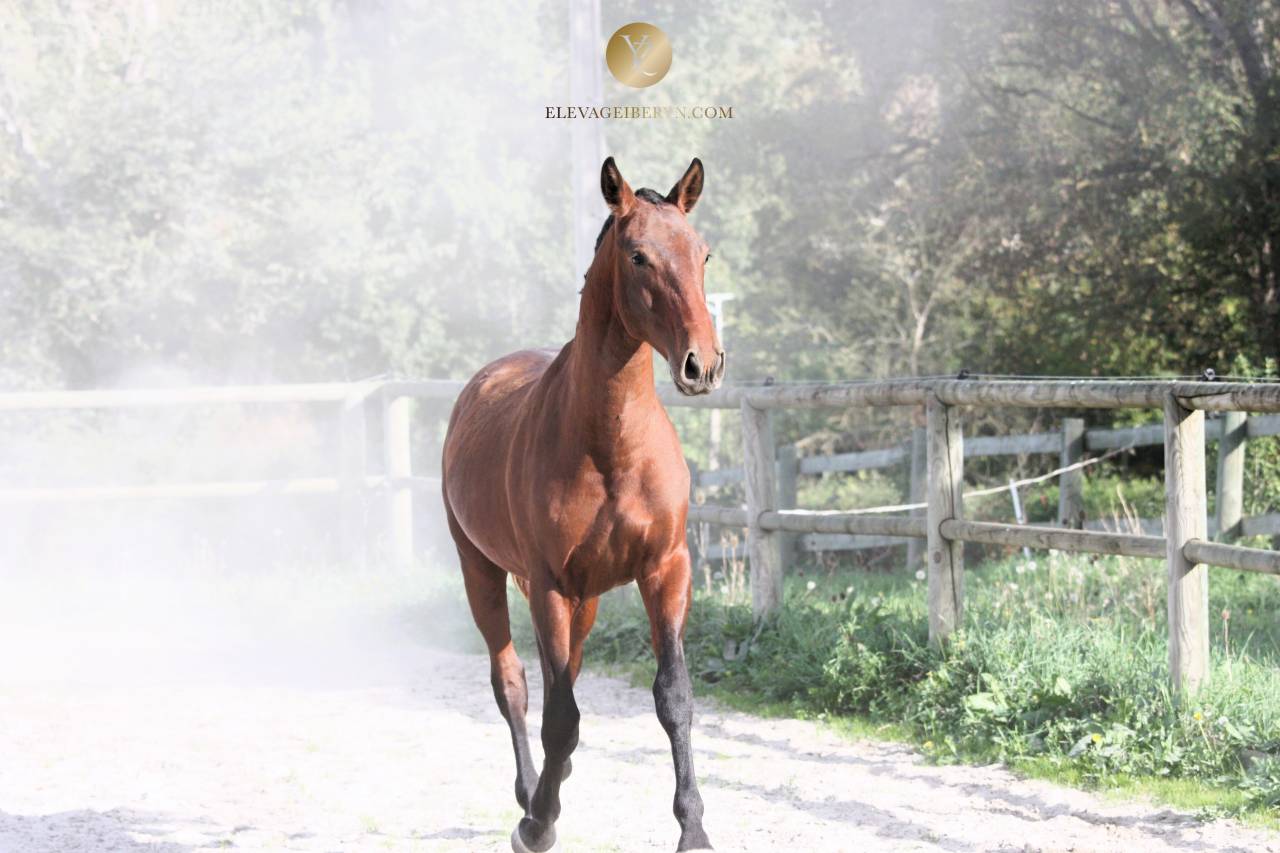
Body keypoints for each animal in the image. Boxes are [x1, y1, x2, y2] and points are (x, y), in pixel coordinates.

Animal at [441, 157, 724, 852]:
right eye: (638, 256)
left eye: (702, 253)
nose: (702, 364)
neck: (610, 448)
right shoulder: (547, 584)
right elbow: (558, 714)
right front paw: (537, 823)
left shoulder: (665, 569)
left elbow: (673, 698)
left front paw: (694, 829)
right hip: (482, 571)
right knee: (515, 685)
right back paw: (531, 797)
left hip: (587, 600)